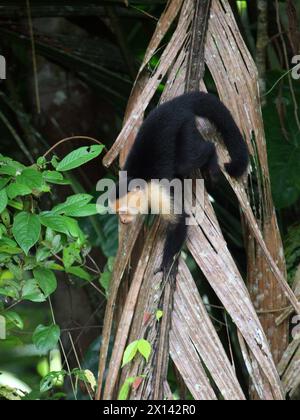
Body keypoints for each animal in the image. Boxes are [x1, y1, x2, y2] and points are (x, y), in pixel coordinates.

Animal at [109, 91, 250, 274]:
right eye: (117, 214)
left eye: (124, 212)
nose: (123, 221)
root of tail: (176, 104)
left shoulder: (155, 190)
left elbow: (179, 220)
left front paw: (167, 263)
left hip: (185, 127)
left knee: (188, 160)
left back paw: (210, 158)